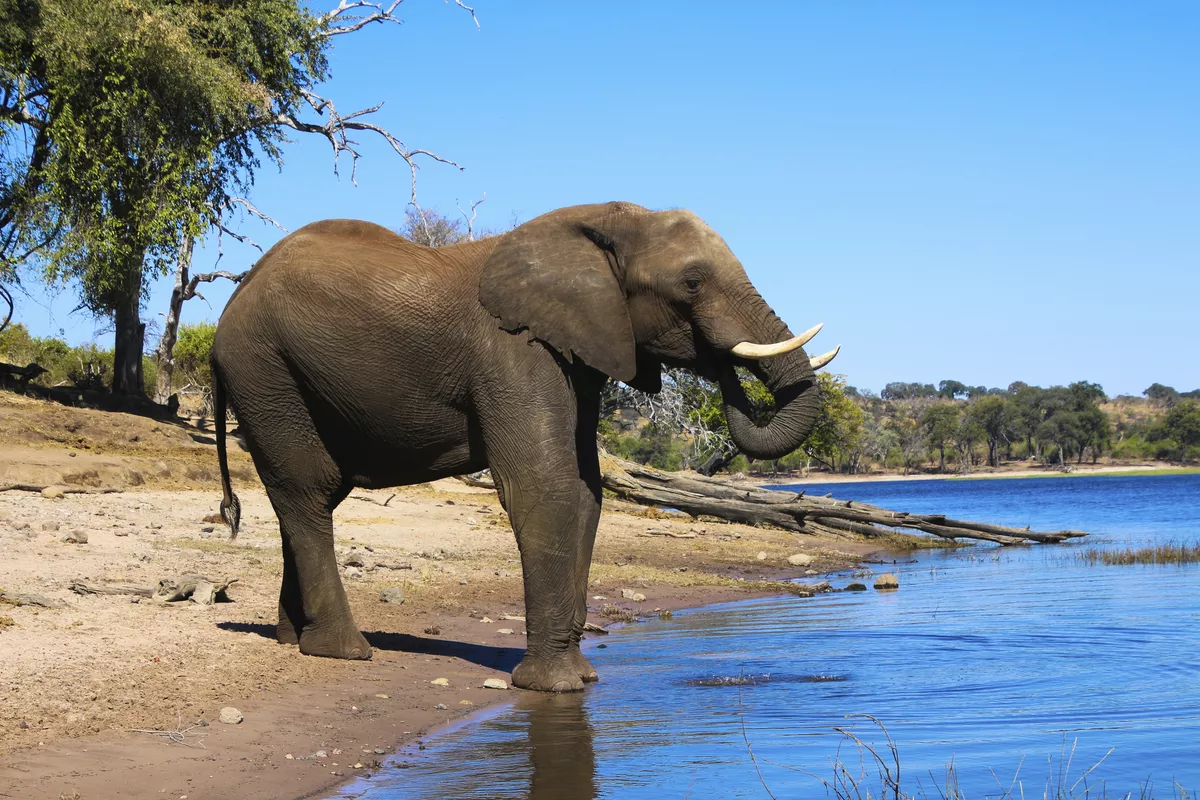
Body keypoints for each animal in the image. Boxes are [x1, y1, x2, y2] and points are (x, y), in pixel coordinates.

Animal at [211, 201, 840, 695]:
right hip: (264, 368)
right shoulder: (515, 350)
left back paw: (293, 638)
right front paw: (555, 687)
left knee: (310, 495)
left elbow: (585, 492)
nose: (721, 364)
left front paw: (581, 679)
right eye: (691, 282)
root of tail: (232, 303)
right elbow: (546, 486)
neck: (602, 222)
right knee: (309, 488)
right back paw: (344, 650)